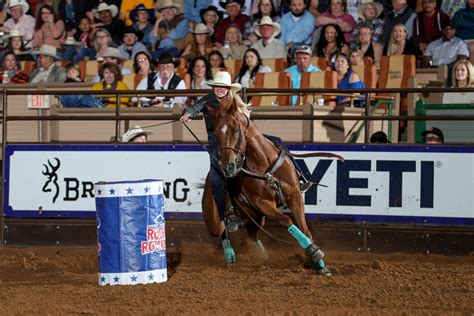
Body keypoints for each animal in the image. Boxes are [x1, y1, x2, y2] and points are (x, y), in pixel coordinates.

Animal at [199, 99, 340, 276]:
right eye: (216, 134)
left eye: (236, 130)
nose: (228, 167)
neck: (264, 164)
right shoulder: (263, 204)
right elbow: (286, 220)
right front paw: (313, 251)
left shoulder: (294, 196)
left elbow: (305, 228)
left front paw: (320, 264)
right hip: (215, 222)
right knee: (223, 232)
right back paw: (230, 255)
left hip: (257, 218)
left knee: (252, 235)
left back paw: (263, 258)